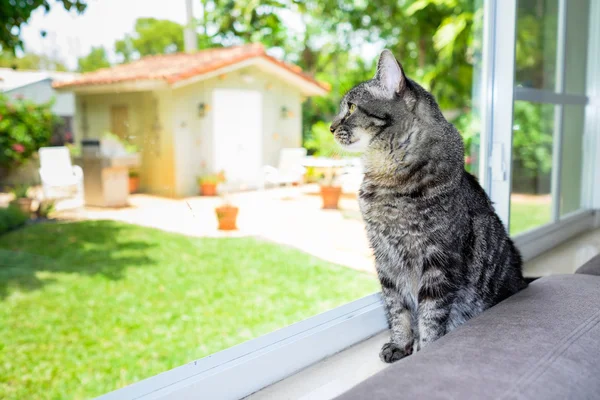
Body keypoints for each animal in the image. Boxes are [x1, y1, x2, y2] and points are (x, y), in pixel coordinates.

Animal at [330, 50, 528, 362]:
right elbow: (397, 310)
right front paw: (400, 345)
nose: (330, 127)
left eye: (350, 108)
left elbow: (431, 316)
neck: (387, 179)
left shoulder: (439, 260)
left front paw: (426, 350)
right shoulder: (385, 261)